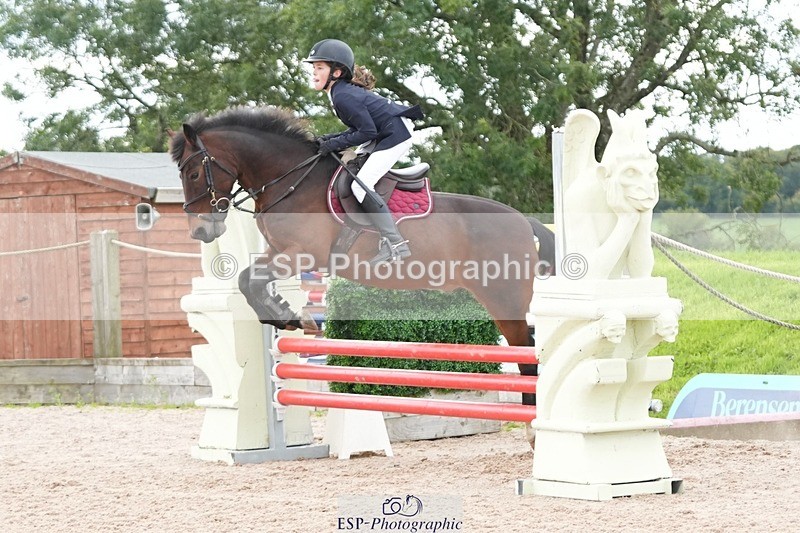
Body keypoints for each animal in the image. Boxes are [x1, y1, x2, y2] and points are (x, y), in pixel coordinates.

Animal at [169, 106, 554, 428]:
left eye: (193, 172)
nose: (202, 232)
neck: (291, 181)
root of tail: (523, 220)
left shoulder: (303, 254)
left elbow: (249, 280)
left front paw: (291, 316)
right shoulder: (278, 251)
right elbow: (249, 280)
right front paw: (287, 316)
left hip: (505, 298)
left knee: (527, 355)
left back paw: (534, 430)